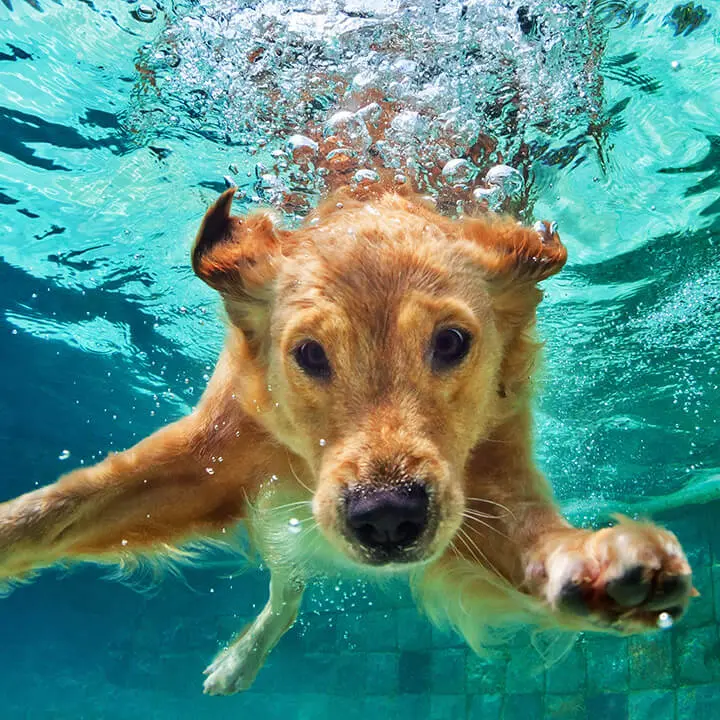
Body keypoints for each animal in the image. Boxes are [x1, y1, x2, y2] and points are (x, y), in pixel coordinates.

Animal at [0, 179, 696, 692]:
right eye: (309, 354)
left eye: (451, 342)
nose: (386, 518)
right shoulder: (212, 456)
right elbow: (53, 511)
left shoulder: (488, 482)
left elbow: (537, 541)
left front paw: (599, 563)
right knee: (285, 587)